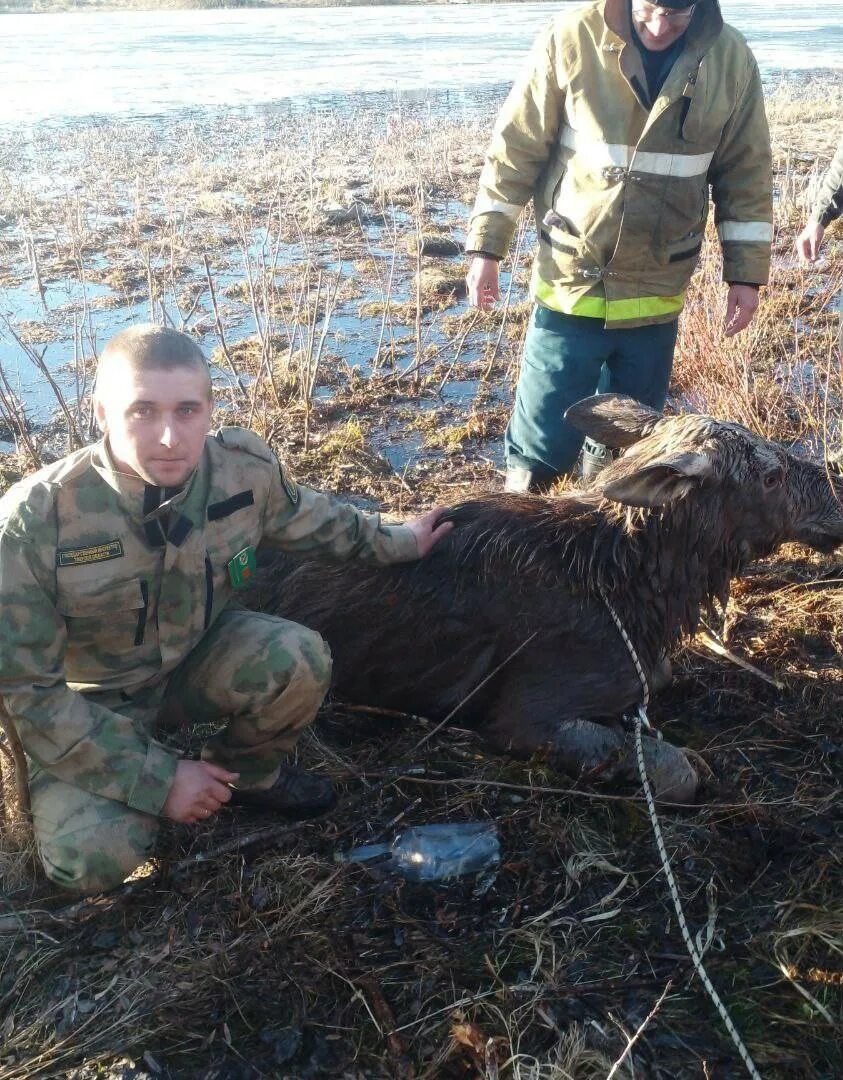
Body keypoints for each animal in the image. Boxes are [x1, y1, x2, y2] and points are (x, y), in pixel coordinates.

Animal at [254, 397, 841, 803]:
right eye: (771, 476)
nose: (836, 499)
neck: (638, 593)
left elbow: (661, 678)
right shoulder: (523, 715)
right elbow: (675, 770)